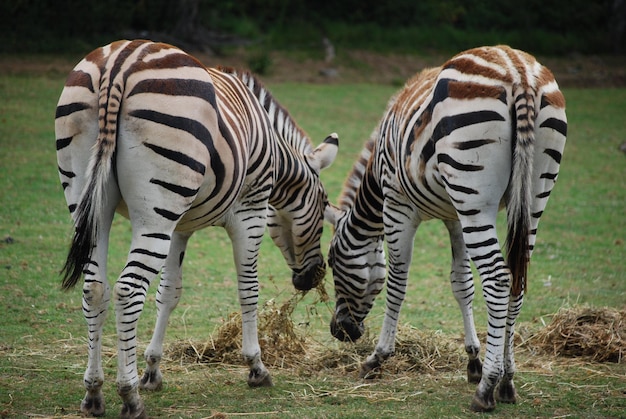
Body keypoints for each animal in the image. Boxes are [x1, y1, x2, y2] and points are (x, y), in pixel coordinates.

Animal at [54, 40, 336, 419]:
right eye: (323, 205)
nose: (314, 276)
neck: (275, 156)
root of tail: (120, 62)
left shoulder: (179, 226)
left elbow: (169, 293)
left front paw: (153, 370)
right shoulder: (251, 210)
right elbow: (249, 290)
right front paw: (256, 367)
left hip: (92, 200)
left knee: (95, 288)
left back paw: (94, 393)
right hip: (156, 209)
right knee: (128, 291)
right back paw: (129, 396)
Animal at [322, 44, 564, 412]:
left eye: (333, 262)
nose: (340, 331)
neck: (377, 175)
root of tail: (518, 71)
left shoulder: (398, 206)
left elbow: (397, 282)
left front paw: (377, 358)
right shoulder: (454, 215)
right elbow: (461, 284)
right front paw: (473, 360)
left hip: (475, 195)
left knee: (498, 279)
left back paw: (487, 390)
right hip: (532, 195)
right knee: (517, 281)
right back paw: (507, 380)